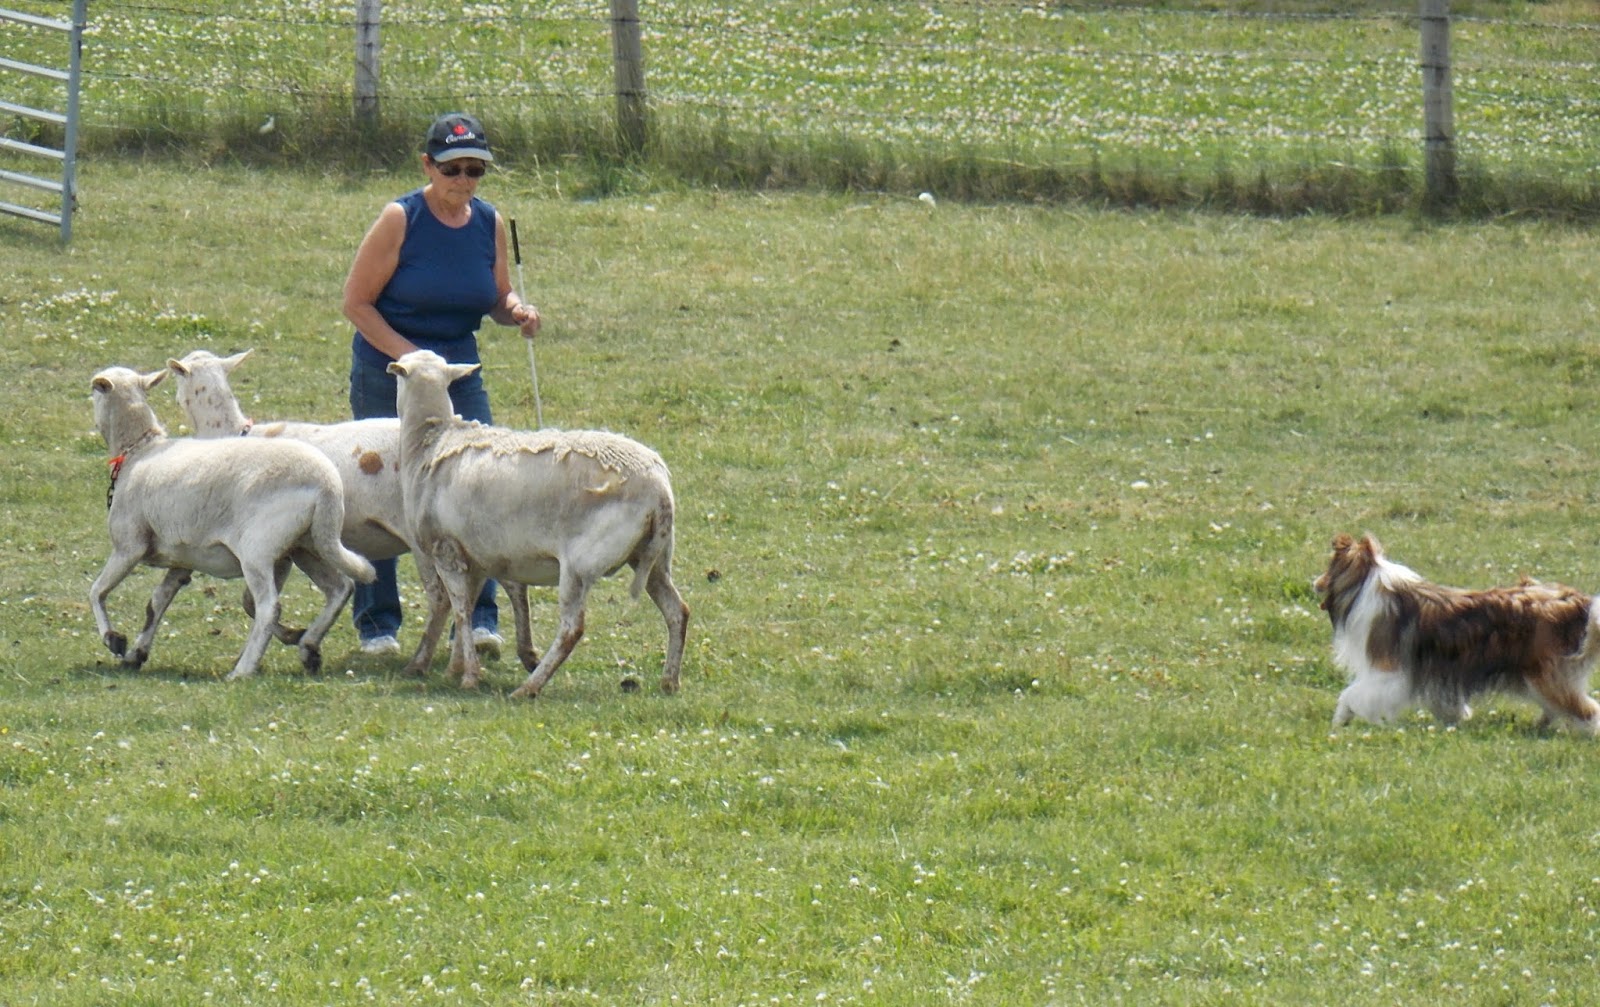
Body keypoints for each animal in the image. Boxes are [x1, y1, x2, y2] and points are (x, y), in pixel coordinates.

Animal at [89, 365, 376, 680]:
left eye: (94, 392)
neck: (138, 450)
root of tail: (327, 484)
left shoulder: (129, 545)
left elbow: (96, 591)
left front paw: (114, 639)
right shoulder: (182, 560)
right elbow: (156, 603)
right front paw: (136, 653)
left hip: (257, 549)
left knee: (269, 607)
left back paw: (243, 669)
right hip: (307, 545)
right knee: (340, 588)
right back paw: (308, 646)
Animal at [167, 348, 543, 669]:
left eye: (178, 376)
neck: (234, 432)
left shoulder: (279, 544)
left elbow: (253, 602)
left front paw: (294, 638)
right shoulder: (300, 546)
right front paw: (301, 642)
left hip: (425, 537)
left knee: (443, 596)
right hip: (480, 528)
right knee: (512, 584)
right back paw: (525, 654)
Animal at [386, 349, 688, 697]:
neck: (430, 442)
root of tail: (659, 488)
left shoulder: (446, 550)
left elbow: (460, 611)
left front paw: (469, 676)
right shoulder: (480, 559)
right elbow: (478, 608)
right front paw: (455, 668)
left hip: (580, 563)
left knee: (572, 629)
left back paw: (529, 687)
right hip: (653, 558)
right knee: (677, 611)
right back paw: (669, 680)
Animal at [1314, 533, 1600, 733]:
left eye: (1328, 568)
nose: (1313, 582)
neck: (1366, 585)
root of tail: (1580, 602)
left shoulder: (1387, 673)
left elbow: (1350, 695)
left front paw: (1340, 720)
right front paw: (1456, 717)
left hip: (1546, 675)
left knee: (1587, 710)